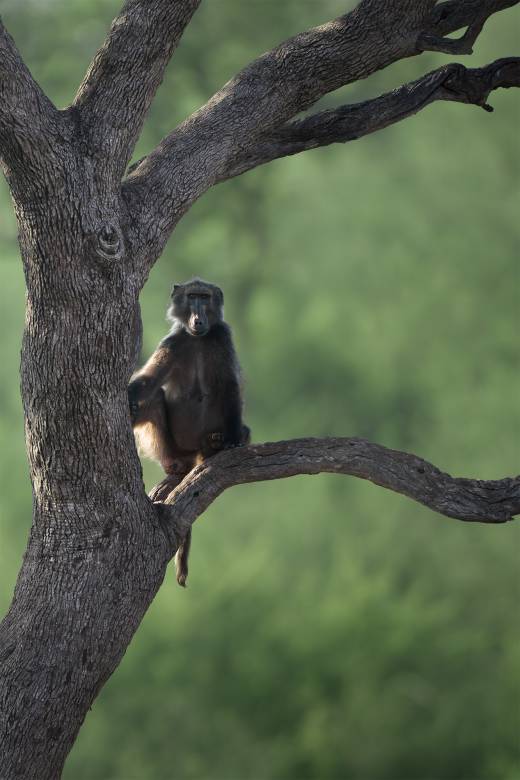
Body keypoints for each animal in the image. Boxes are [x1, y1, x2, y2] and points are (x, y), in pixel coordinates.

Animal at [128, 278, 250, 586]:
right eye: (192, 296)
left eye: (204, 298)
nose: (198, 318)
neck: (198, 338)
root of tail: (193, 455)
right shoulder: (173, 342)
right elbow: (149, 381)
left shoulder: (223, 337)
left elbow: (230, 387)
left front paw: (233, 439)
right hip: (170, 446)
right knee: (154, 398)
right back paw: (174, 465)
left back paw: (217, 443)